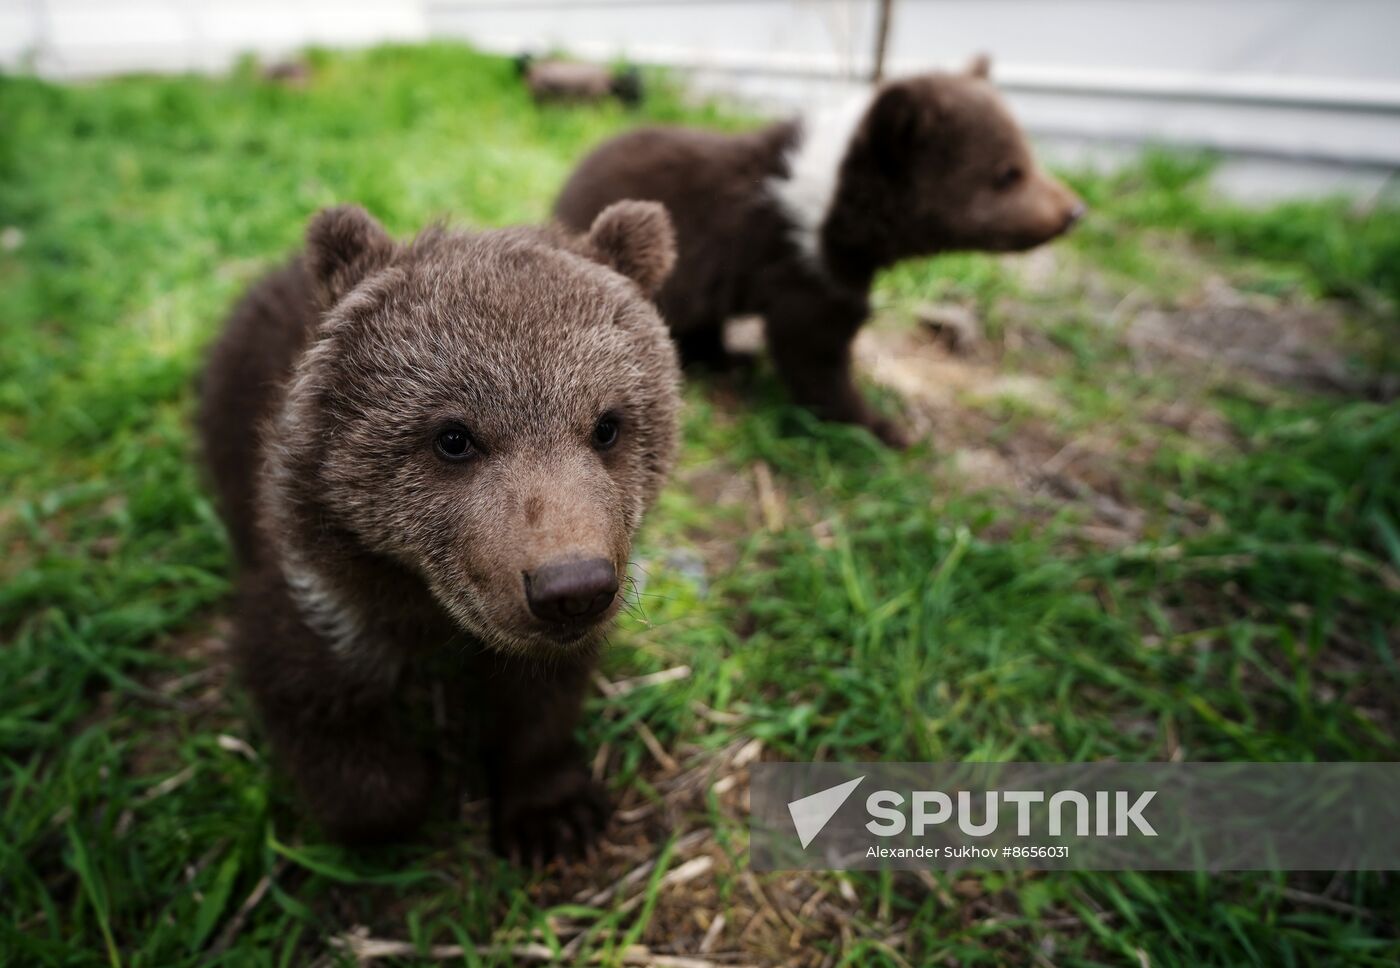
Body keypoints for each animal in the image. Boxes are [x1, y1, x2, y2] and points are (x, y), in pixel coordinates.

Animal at [197, 201, 680, 860]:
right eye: (454, 437)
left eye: (607, 426)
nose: (571, 589)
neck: (427, 601)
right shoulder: (319, 585)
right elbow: (311, 695)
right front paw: (409, 782)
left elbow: (542, 699)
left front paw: (552, 815)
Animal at [554, 57, 1085, 447]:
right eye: (1007, 173)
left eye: (1028, 158)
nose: (1074, 210)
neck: (837, 205)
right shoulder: (806, 267)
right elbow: (812, 349)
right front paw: (882, 428)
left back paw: (728, 359)